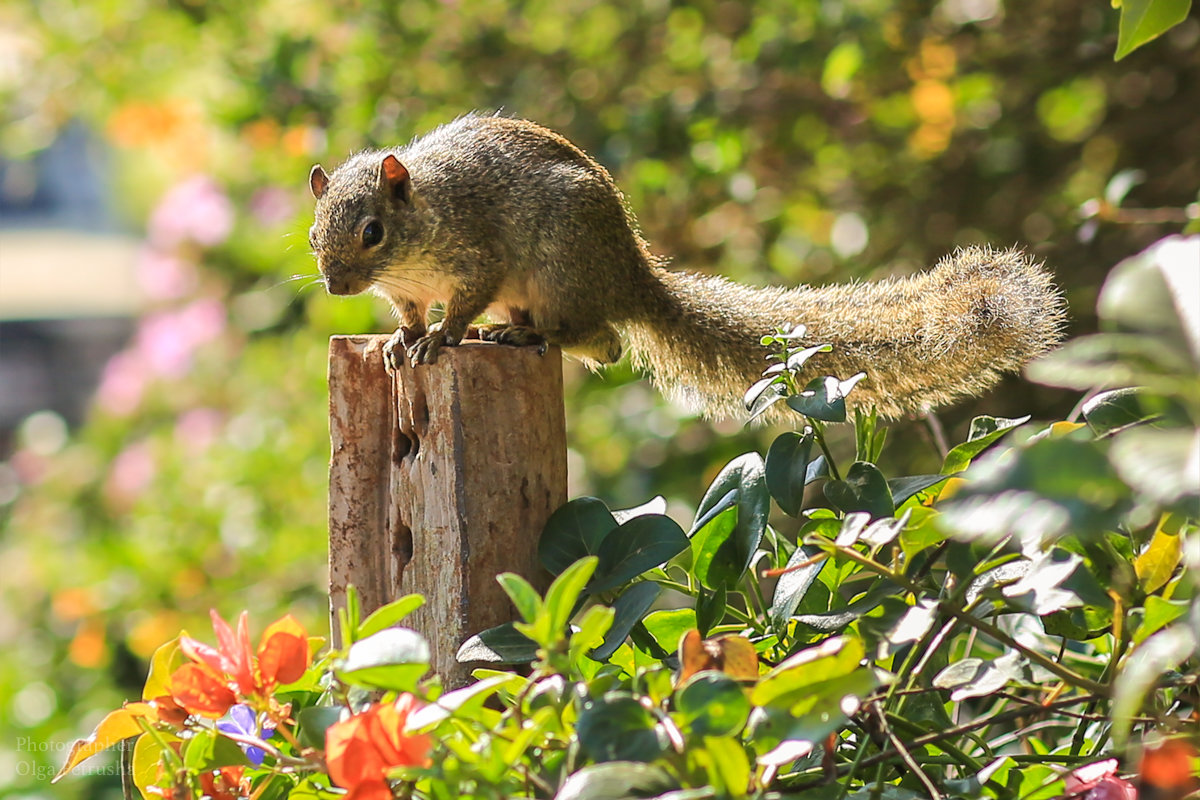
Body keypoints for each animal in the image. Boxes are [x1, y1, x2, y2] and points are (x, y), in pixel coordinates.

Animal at [304, 115, 1065, 422]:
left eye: (372, 232)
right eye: (314, 237)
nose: (337, 286)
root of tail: (633, 275)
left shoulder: (479, 254)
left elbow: (461, 305)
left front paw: (441, 339)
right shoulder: (407, 291)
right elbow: (407, 315)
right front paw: (401, 341)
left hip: (558, 267)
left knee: (603, 338)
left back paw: (528, 336)